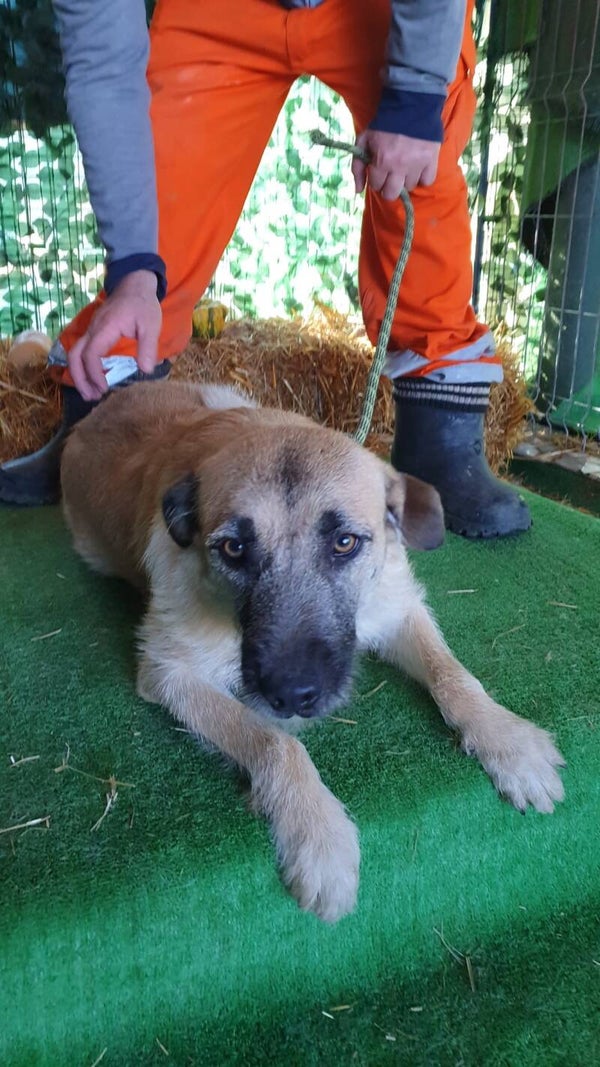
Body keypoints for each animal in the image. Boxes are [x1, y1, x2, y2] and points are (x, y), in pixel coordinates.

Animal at [61, 380, 565, 922]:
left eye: (345, 542)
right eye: (234, 549)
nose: (293, 695)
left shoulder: (397, 608)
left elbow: (453, 675)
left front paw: (509, 742)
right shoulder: (169, 670)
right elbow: (276, 743)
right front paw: (318, 834)